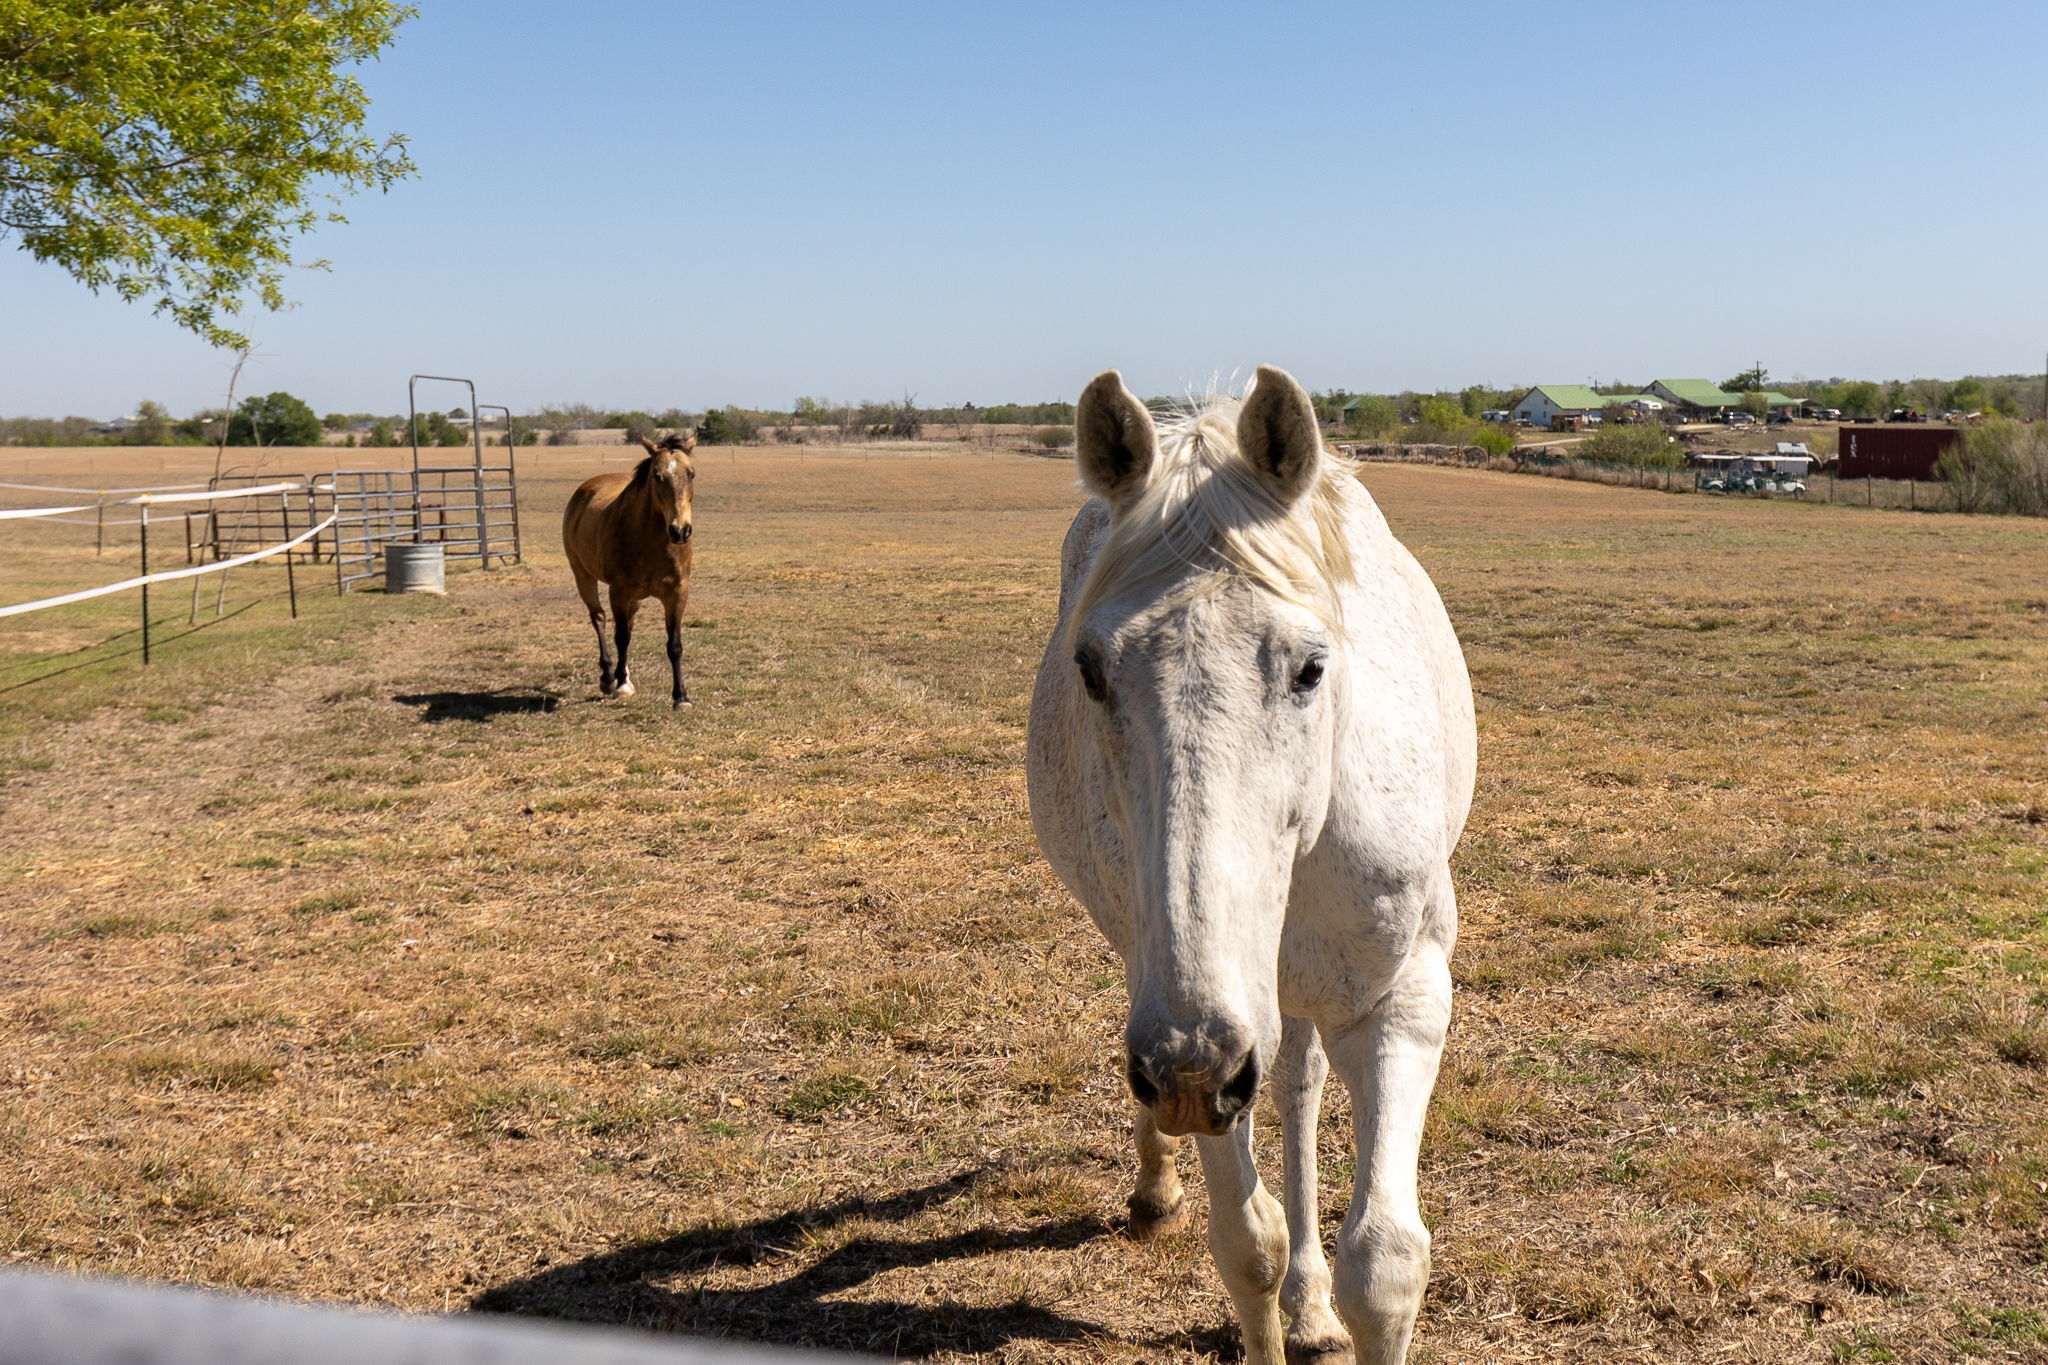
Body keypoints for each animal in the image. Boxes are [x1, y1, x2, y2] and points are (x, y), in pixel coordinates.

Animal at [562, 433, 698, 707]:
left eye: (691, 474)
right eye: (657, 476)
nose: (680, 530)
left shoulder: (678, 592)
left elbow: (674, 644)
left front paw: (681, 697)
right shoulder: (619, 591)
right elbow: (621, 637)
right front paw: (620, 684)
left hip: (636, 597)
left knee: (628, 624)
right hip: (583, 575)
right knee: (600, 618)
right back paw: (608, 677)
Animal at [1025, 367, 1475, 1365]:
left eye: (1310, 667)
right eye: (1091, 670)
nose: (1191, 1067)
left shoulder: (1401, 1000)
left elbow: (1384, 1263)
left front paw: (1331, 1291)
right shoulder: (1200, 1035)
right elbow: (1246, 1241)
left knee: (1298, 1084)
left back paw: (1311, 1302)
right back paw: (1157, 1188)